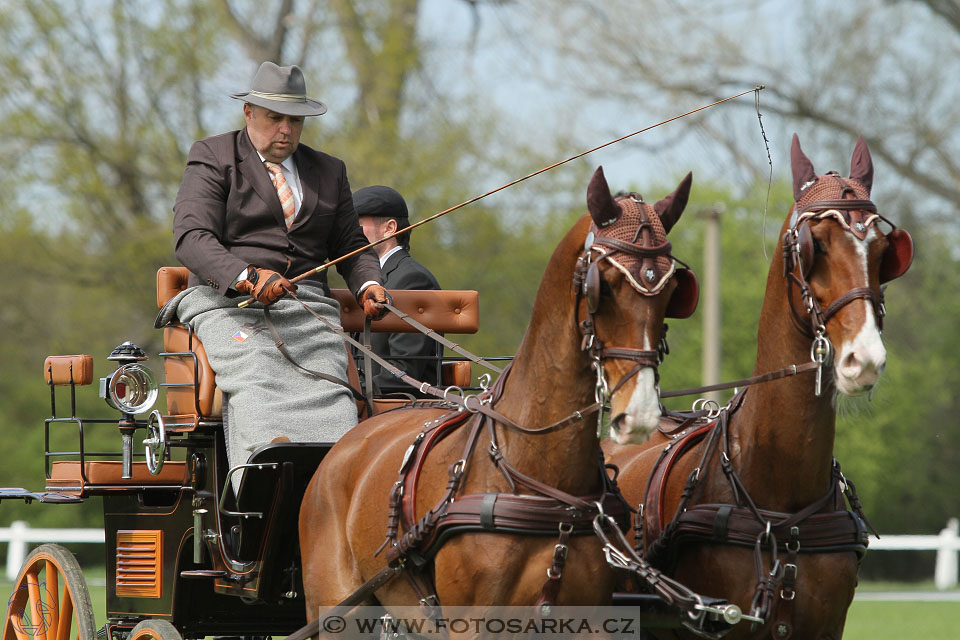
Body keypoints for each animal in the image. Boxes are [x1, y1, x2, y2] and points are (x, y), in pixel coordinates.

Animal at [300, 168, 696, 628]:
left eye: (671, 290)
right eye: (607, 286)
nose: (643, 413)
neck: (540, 475)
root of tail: (341, 447)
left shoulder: (590, 617)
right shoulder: (472, 621)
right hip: (336, 604)